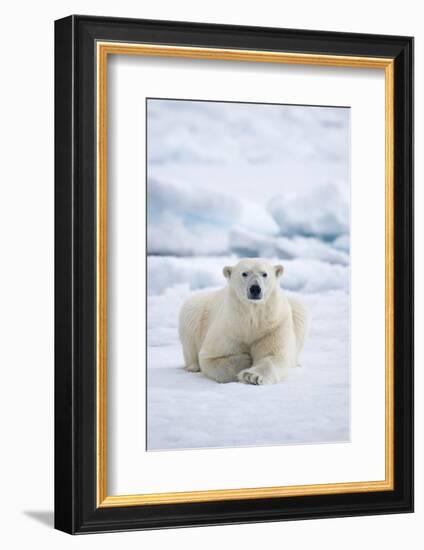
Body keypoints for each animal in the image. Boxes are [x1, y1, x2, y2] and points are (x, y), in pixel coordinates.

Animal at [178, 258, 308, 384]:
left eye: (264, 274)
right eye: (244, 273)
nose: (255, 288)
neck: (251, 319)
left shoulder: (273, 327)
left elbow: (273, 355)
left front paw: (251, 376)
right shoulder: (229, 327)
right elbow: (211, 357)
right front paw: (245, 360)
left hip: (296, 309)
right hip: (198, 307)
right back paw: (192, 367)